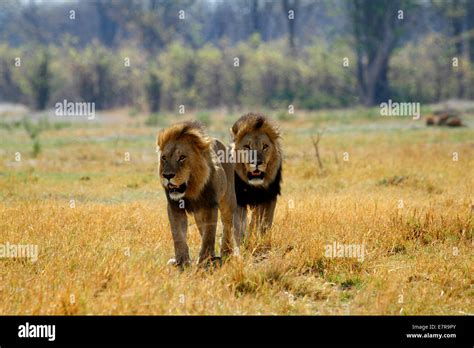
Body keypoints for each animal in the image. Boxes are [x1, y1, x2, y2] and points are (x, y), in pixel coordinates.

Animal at [157, 121, 241, 266]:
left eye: (182, 157)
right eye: (164, 158)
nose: (167, 175)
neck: (191, 190)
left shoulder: (210, 206)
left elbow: (209, 235)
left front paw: (204, 261)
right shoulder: (174, 207)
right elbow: (178, 234)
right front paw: (181, 261)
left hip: (228, 200)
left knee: (227, 226)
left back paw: (226, 252)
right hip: (198, 214)